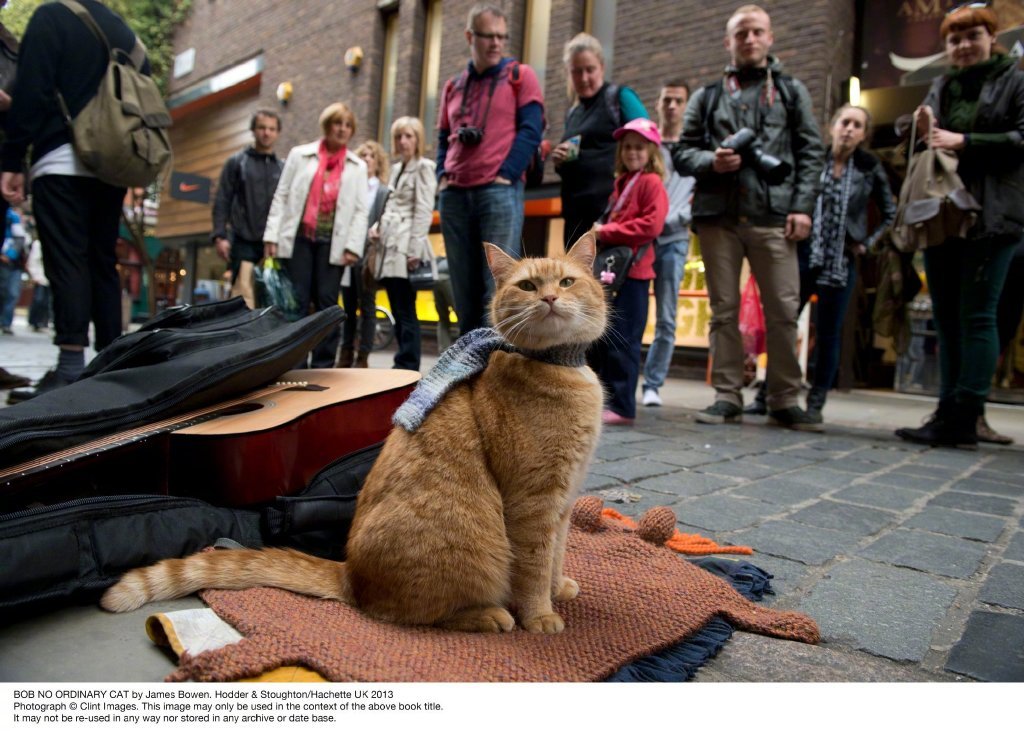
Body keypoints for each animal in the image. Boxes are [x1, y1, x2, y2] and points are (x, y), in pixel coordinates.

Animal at [101, 234, 606, 630]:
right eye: (527, 285)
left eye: (566, 282)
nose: (549, 299)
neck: (558, 367)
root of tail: (350, 574)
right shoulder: (533, 503)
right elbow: (533, 566)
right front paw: (539, 615)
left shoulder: (562, 504)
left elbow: (556, 555)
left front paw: (558, 589)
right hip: (475, 547)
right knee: (410, 612)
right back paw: (489, 616)